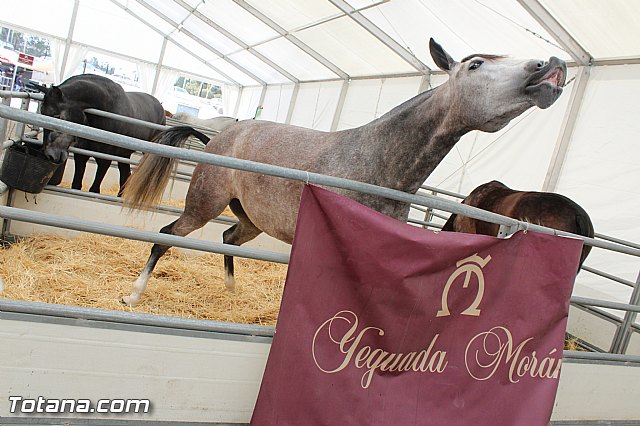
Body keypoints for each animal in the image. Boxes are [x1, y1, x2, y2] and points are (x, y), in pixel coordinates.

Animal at [31, 74, 166, 195]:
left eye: (57, 116)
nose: (50, 155)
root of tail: (160, 106)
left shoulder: (104, 160)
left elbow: (94, 190)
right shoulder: (81, 156)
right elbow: (76, 185)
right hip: (124, 154)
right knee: (125, 175)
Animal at [120, 38, 568, 305]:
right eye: (475, 65)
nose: (550, 65)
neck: (372, 164)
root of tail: (221, 137)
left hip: (251, 220)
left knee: (229, 239)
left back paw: (232, 293)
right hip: (202, 206)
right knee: (165, 236)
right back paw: (133, 296)